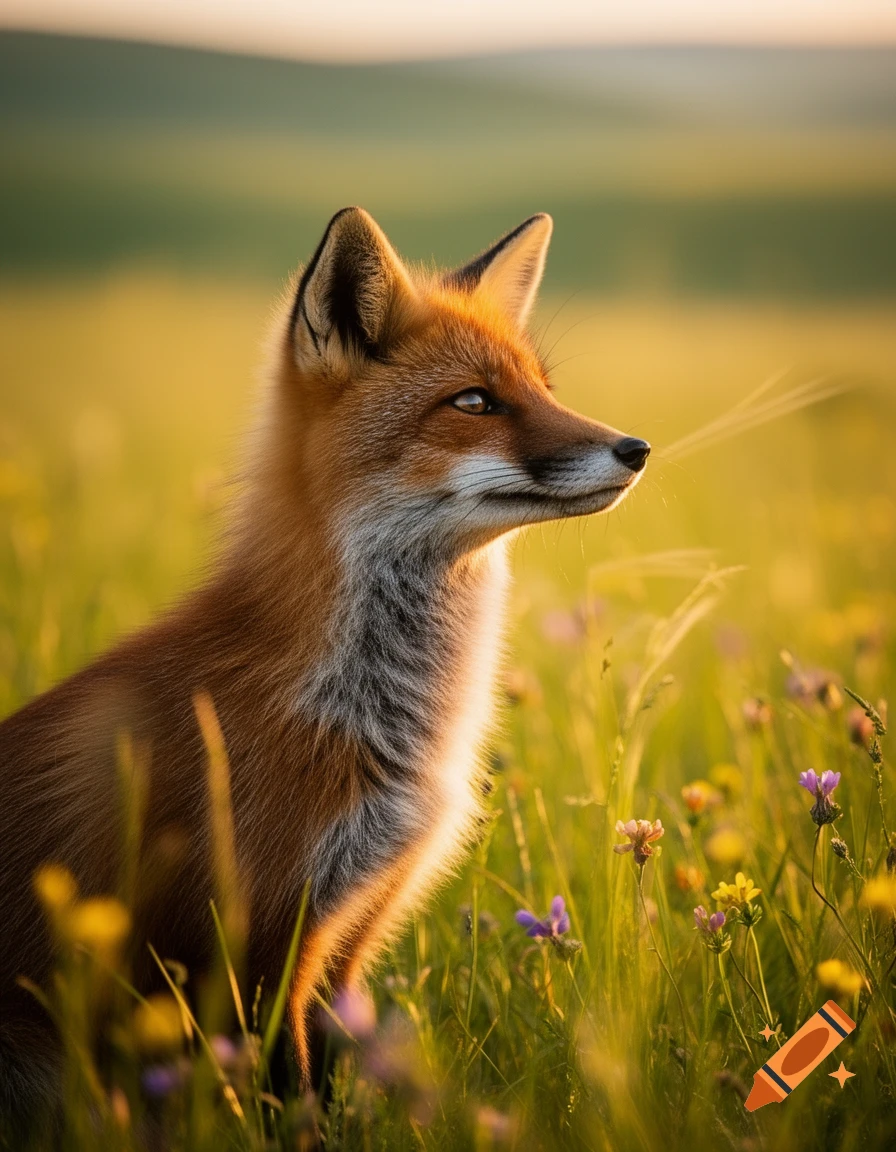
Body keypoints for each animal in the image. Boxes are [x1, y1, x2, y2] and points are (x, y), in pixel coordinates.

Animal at [0, 207, 649, 1132]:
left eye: (544, 388)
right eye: (475, 402)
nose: (636, 448)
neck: (369, 712)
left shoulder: (347, 940)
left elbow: (334, 1095)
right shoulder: (255, 946)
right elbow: (290, 1106)